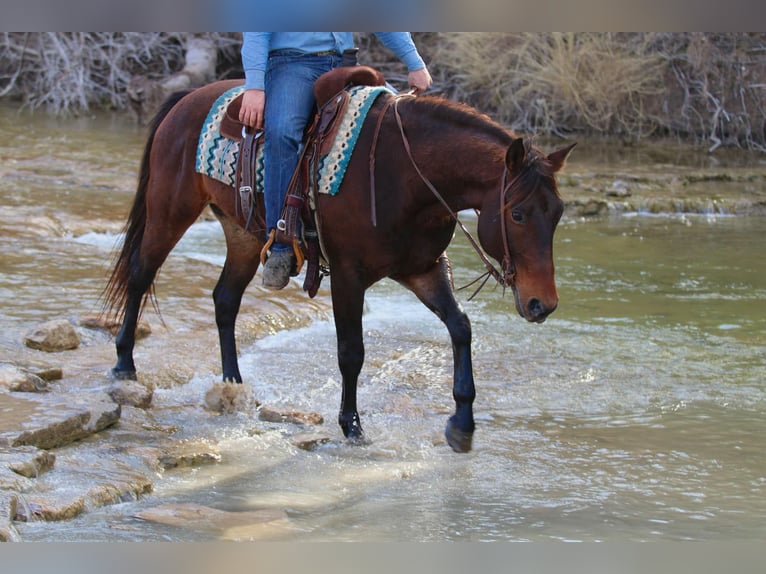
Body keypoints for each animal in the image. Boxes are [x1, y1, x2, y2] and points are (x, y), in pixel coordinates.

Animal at [106, 76, 576, 454]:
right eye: (518, 214)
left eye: (557, 213)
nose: (543, 304)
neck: (405, 174)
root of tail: (186, 99)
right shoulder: (349, 276)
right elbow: (352, 352)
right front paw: (352, 427)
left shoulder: (423, 269)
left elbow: (460, 328)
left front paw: (462, 424)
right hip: (169, 210)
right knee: (140, 273)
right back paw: (125, 365)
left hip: (243, 234)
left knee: (225, 299)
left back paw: (234, 384)